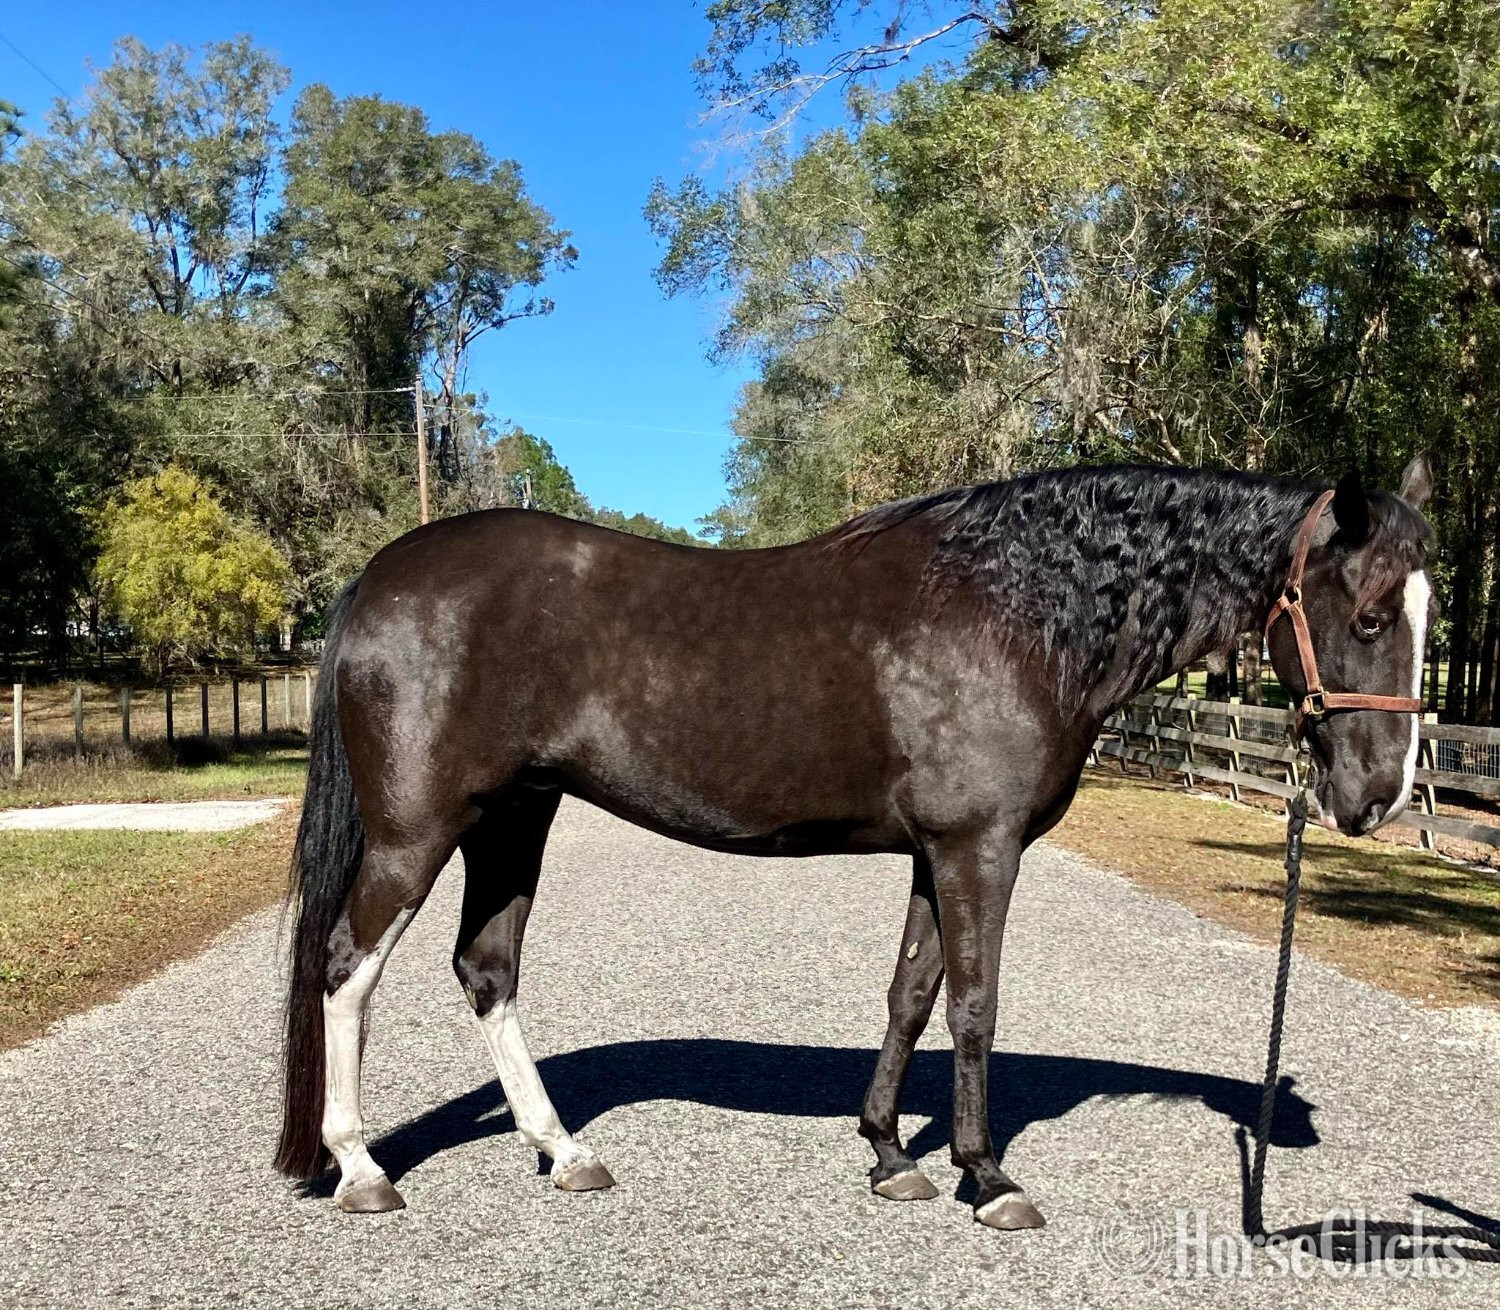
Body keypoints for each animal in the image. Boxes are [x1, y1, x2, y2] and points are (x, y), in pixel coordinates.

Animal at [274, 456, 1436, 1230]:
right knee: (346, 966)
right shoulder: (980, 847)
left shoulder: (936, 849)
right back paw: (362, 1168)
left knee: (486, 970)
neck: (1019, 610)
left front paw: (888, 1154)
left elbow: (911, 992)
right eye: (1372, 615)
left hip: (517, 818)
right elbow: (973, 1004)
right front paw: (987, 1176)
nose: (1377, 796)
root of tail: (381, 578)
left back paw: (566, 1153)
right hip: (419, 830)